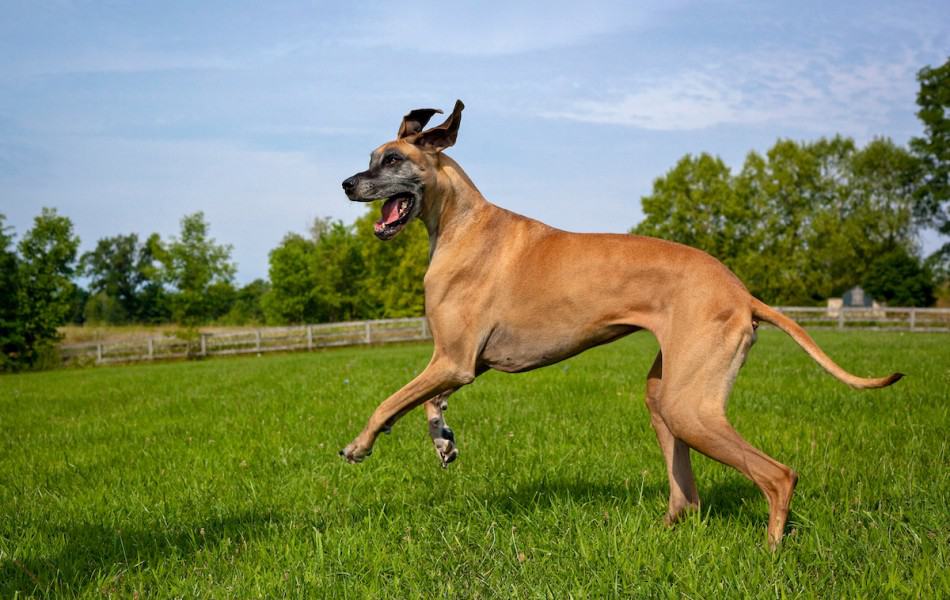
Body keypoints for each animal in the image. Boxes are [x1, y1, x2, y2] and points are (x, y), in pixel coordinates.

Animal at [338, 101, 904, 548]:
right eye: (371, 158)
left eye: (392, 159)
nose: (346, 183)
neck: (462, 223)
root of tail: (742, 292)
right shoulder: (459, 362)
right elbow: (428, 402)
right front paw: (443, 440)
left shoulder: (453, 360)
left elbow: (388, 403)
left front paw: (360, 445)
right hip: (666, 396)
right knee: (688, 496)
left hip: (690, 407)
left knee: (778, 475)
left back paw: (770, 551)